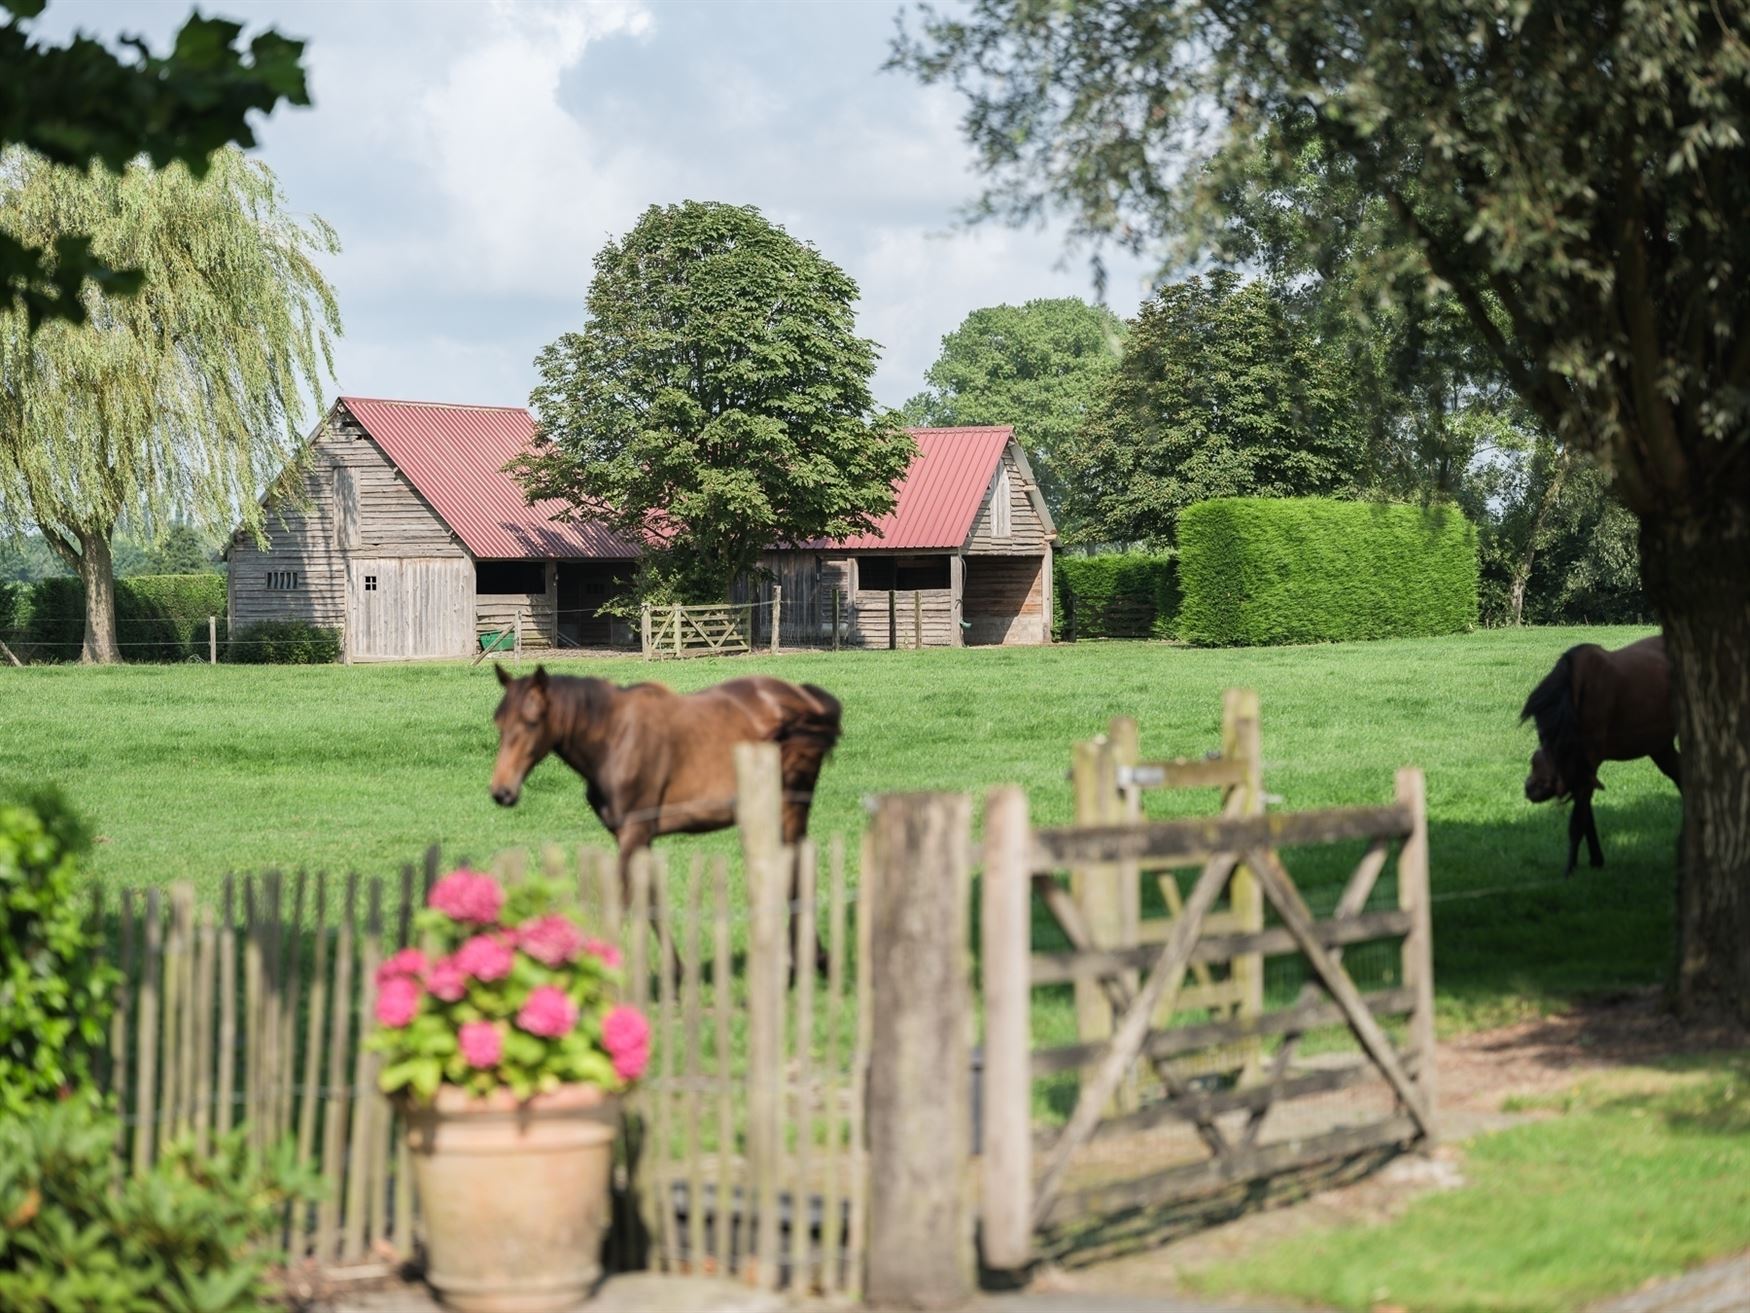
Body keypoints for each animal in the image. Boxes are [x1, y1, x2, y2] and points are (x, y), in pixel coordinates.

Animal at [490, 668, 843, 966]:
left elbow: (624, 900)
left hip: (791, 806)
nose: (502, 791)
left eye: (532, 722)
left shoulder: (634, 832)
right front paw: (675, 971)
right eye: (500, 724)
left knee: (798, 871)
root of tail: (804, 696)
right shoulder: (634, 836)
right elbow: (651, 900)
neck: (616, 739)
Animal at [1519, 633, 1680, 875]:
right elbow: (1586, 816)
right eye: (1533, 760)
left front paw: (1569, 869)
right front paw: (1595, 859)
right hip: (1660, 745)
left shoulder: (1587, 760)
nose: (1530, 788)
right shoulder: (1583, 767)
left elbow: (1577, 821)